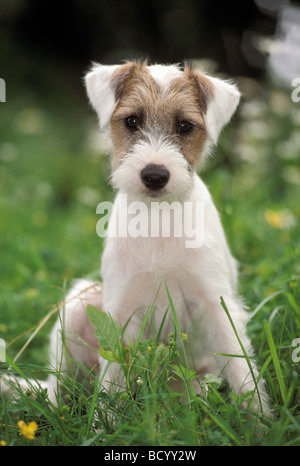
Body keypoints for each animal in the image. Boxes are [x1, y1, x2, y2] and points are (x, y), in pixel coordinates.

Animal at [1, 61, 270, 416]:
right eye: (132, 121)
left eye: (184, 126)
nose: (154, 175)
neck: (157, 218)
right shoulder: (120, 311)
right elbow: (109, 383)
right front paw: (103, 423)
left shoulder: (217, 305)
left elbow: (241, 368)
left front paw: (260, 419)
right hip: (78, 305)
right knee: (62, 391)